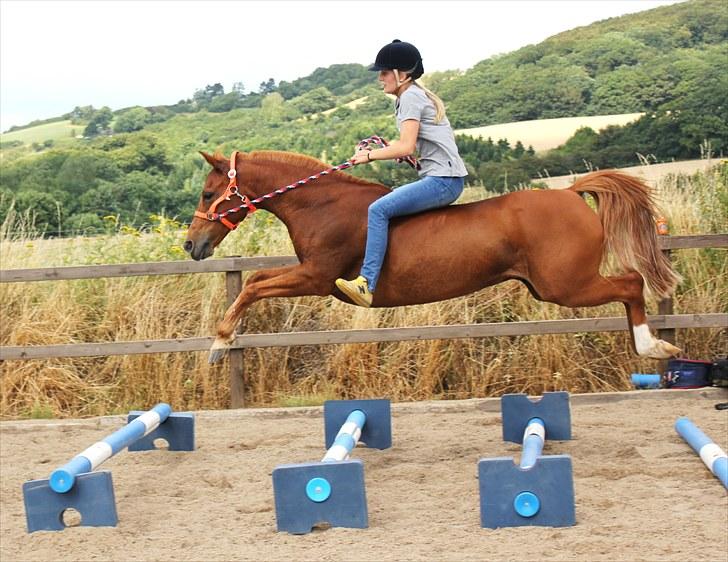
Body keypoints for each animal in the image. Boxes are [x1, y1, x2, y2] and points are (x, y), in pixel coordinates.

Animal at [185, 149, 680, 360]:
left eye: (209, 193)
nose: (191, 245)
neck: (321, 206)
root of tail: (572, 193)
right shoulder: (311, 276)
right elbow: (254, 283)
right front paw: (222, 340)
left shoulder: (317, 277)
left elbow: (253, 285)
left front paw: (219, 343)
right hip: (551, 287)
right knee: (630, 285)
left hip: (567, 285)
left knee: (632, 283)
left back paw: (653, 346)